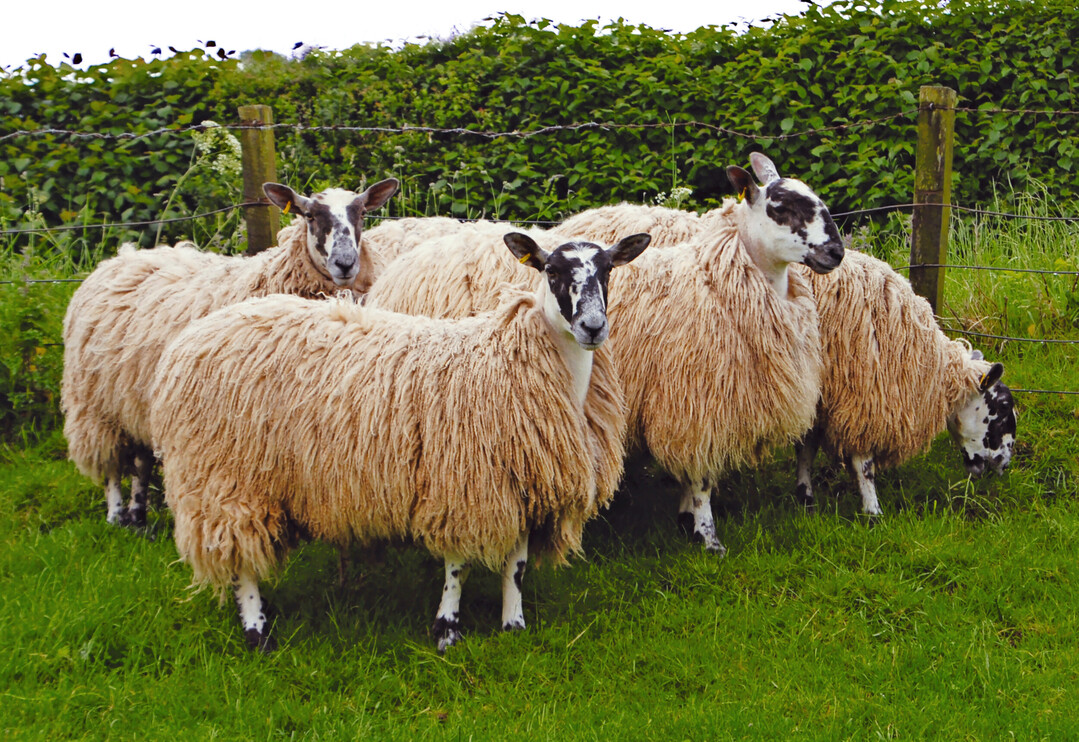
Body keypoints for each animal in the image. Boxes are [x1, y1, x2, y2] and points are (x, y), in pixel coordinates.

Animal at [61, 178, 399, 527]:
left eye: (361, 214)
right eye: (309, 215)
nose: (345, 263)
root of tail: (122, 257)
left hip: (131, 401)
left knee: (140, 461)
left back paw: (139, 515)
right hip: (96, 405)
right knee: (110, 463)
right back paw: (117, 515)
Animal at [148, 231, 651, 652]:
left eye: (608, 269)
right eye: (552, 271)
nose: (593, 327)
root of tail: (187, 341)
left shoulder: (522, 484)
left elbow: (517, 565)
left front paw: (514, 624)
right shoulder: (461, 484)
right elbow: (457, 566)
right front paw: (447, 630)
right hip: (225, 477)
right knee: (239, 559)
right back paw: (257, 632)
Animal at [367, 153, 844, 554]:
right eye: (780, 207)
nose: (836, 252)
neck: (719, 277)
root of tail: (399, 268)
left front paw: (686, 516)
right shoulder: (693, 403)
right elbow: (703, 477)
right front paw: (707, 537)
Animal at [790, 248, 1017, 516]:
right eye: (1004, 406)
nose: (1004, 464)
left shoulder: (818, 396)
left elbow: (806, 447)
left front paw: (805, 497)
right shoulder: (865, 397)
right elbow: (863, 462)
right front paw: (873, 511)